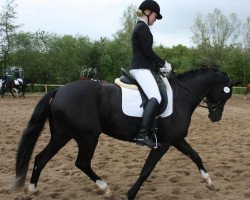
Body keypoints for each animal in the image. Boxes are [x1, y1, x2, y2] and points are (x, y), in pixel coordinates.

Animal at [15, 67, 234, 198]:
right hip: (88, 136)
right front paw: (131, 193)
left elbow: (196, 156)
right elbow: (147, 169)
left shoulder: (176, 139)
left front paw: (209, 182)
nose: (216, 117)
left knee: (41, 158)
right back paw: (105, 188)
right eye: (226, 94)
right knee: (82, 162)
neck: (181, 97)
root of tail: (59, 91)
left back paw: (31, 190)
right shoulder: (163, 143)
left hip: (62, 135)